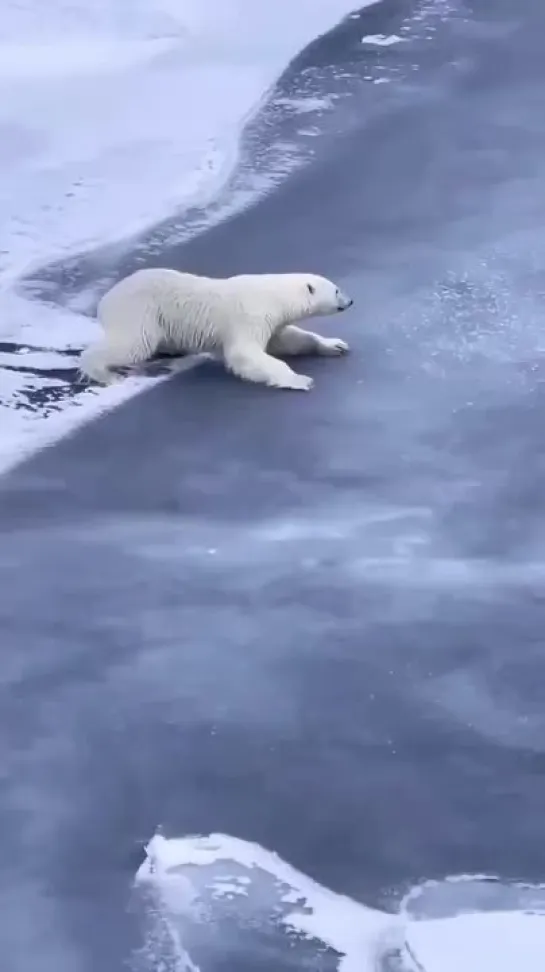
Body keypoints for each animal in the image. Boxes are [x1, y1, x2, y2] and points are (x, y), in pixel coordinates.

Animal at [79, 266, 352, 392]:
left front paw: (335, 345)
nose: (350, 301)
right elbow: (245, 353)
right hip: (139, 312)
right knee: (133, 344)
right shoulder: (250, 316)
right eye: (337, 290)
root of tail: (104, 302)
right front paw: (300, 379)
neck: (273, 295)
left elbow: (287, 340)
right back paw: (104, 373)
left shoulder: (270, 321)